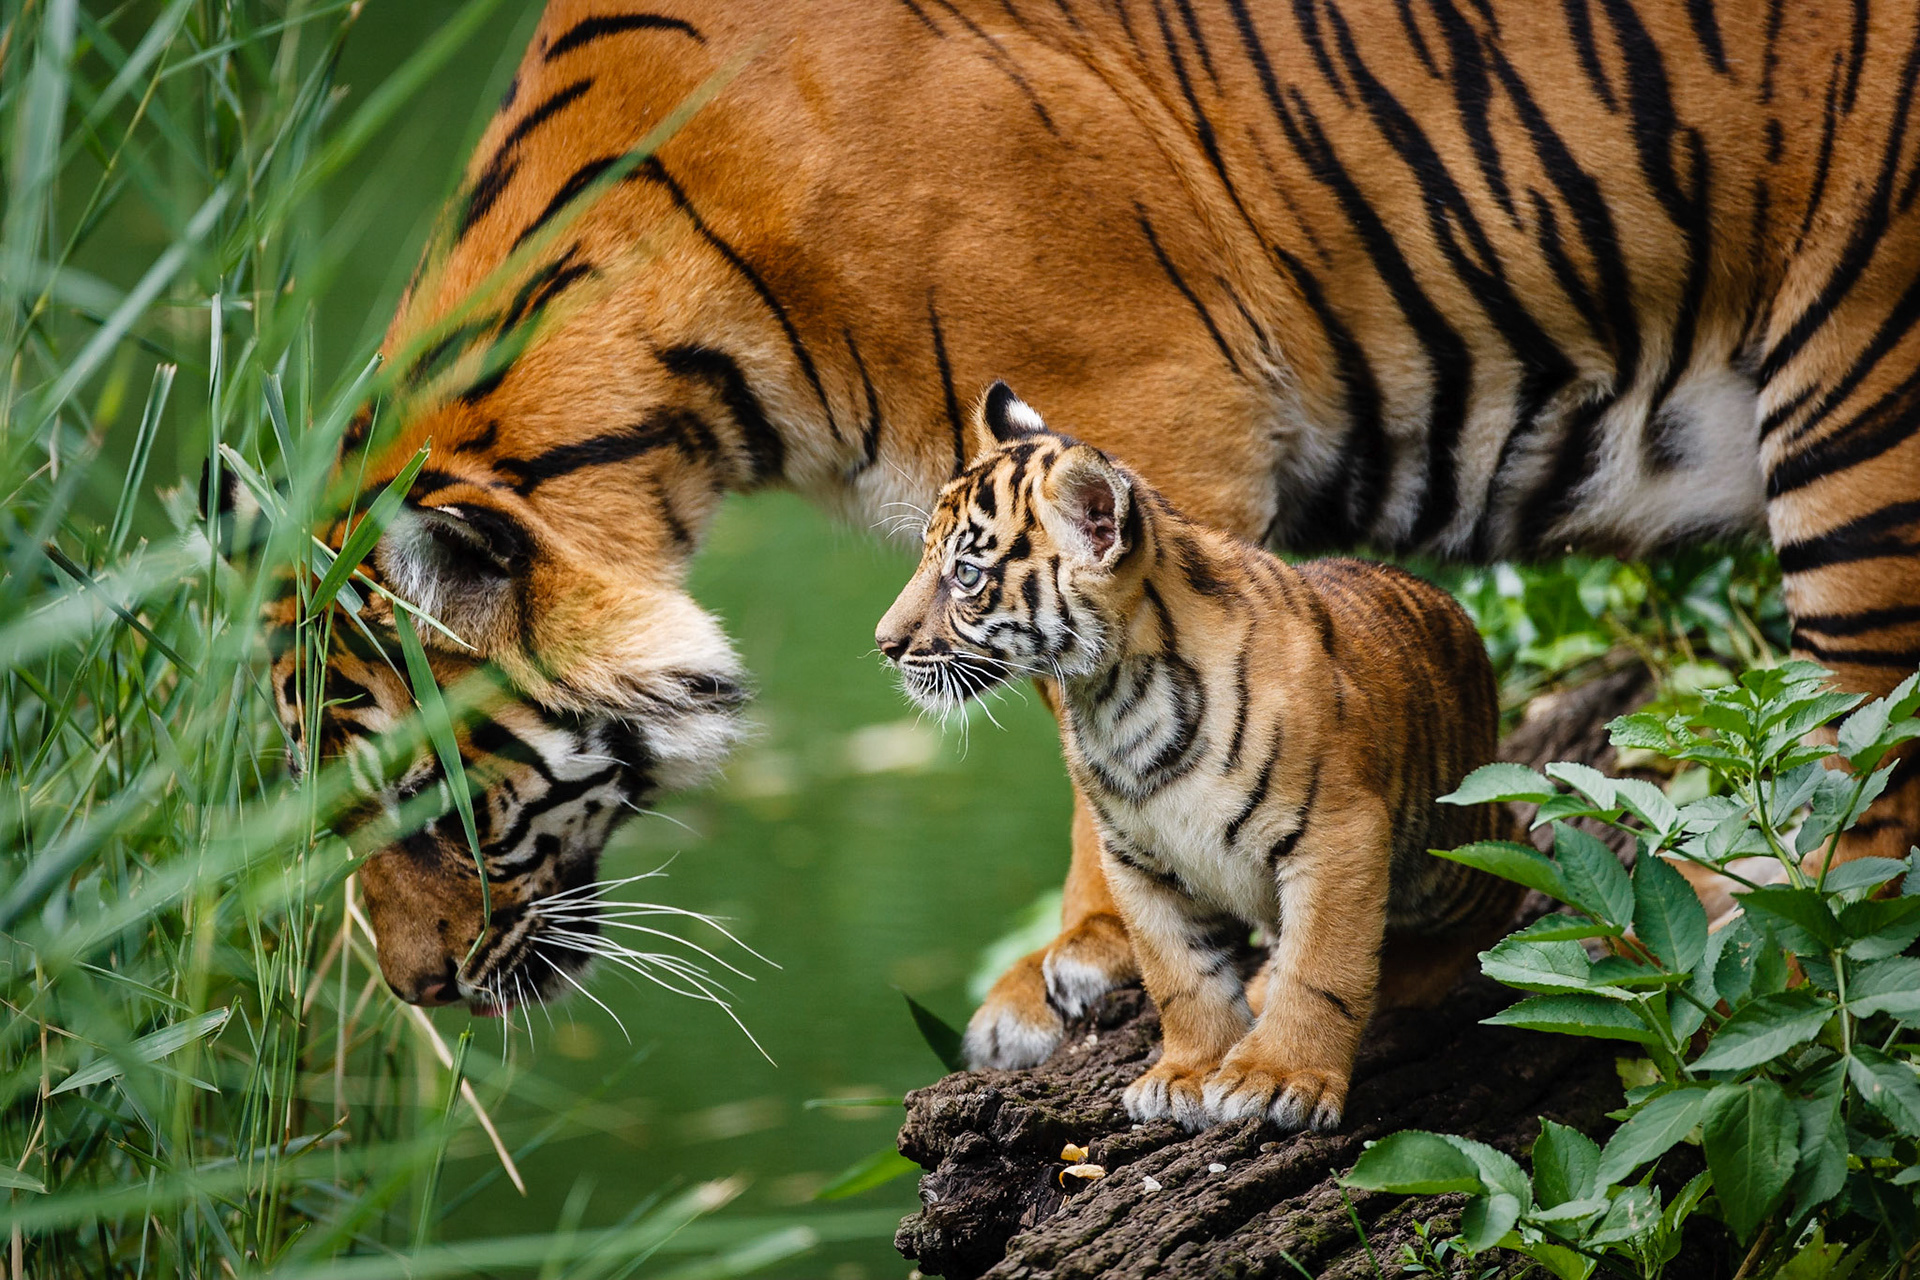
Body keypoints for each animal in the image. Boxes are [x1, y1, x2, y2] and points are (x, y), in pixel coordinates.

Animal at [875, 384, 1523, 1128]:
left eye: (966, 574)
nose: (884, 643)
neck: (1117, 702)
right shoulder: (1137, 860)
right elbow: (1181, 977)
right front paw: (1186, 1073)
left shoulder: (1340, 834)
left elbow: (1322, 967)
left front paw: (1279, 1077)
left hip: (1446, 857)